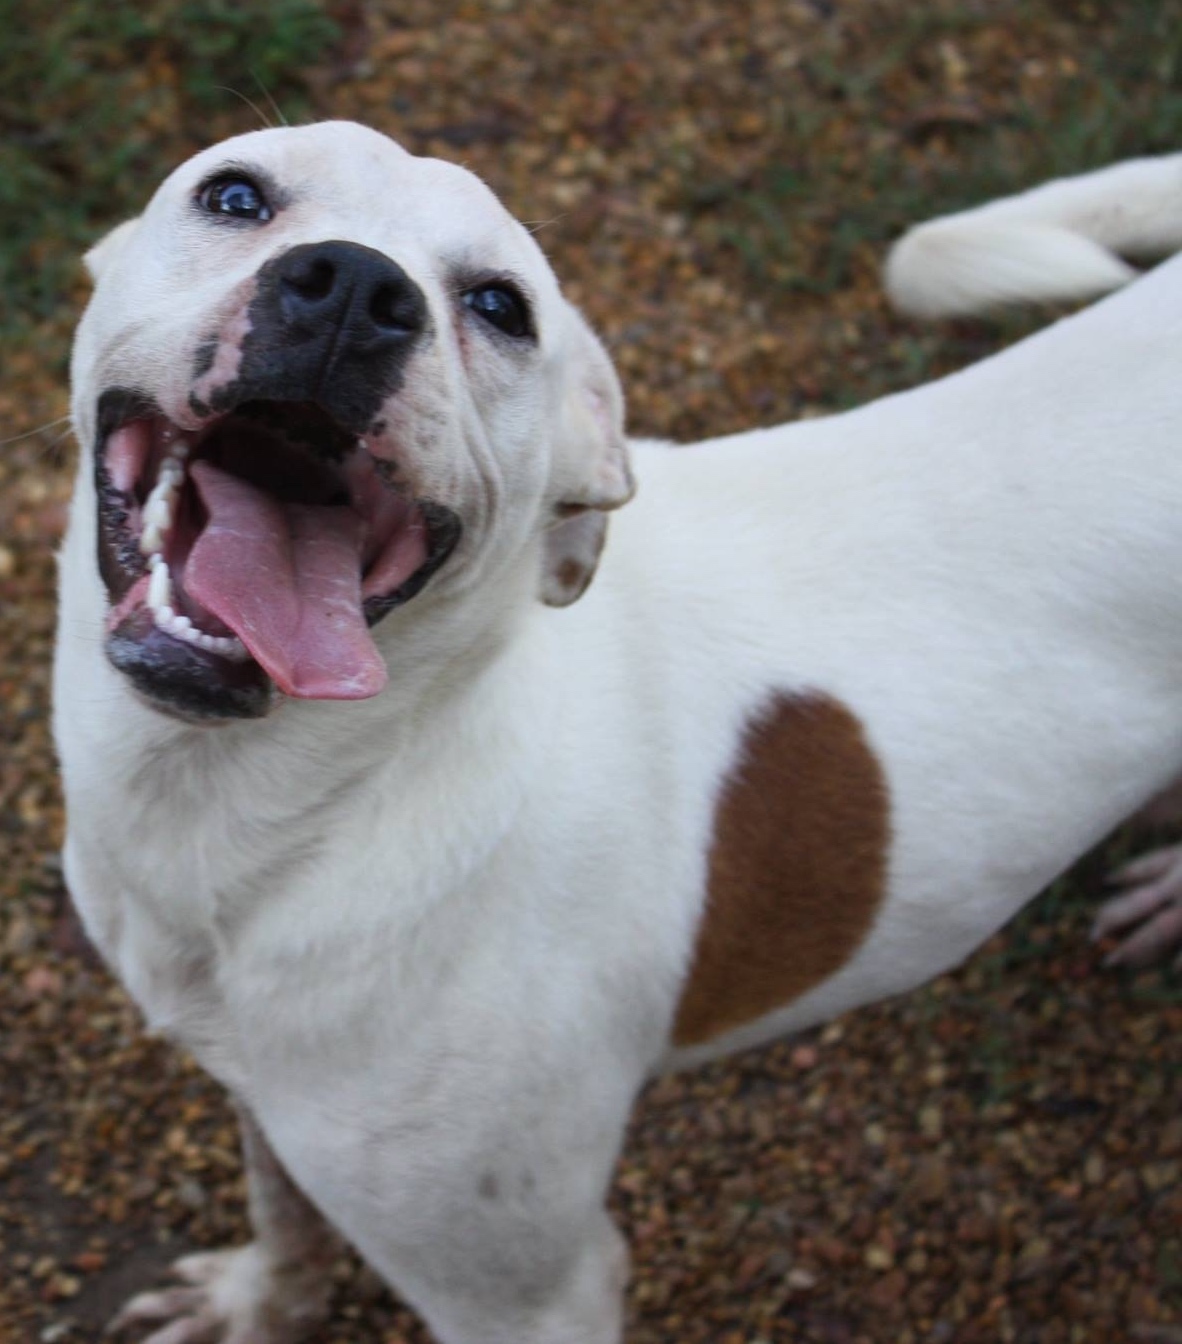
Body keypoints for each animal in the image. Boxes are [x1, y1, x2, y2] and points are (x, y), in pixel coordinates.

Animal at [53, 120, 1182, 1338]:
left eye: (500, 305)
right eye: (234, 195)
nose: (353, 287)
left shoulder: (526, 1290)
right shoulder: (265, 1099)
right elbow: (284, 1216)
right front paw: (260, 1306)